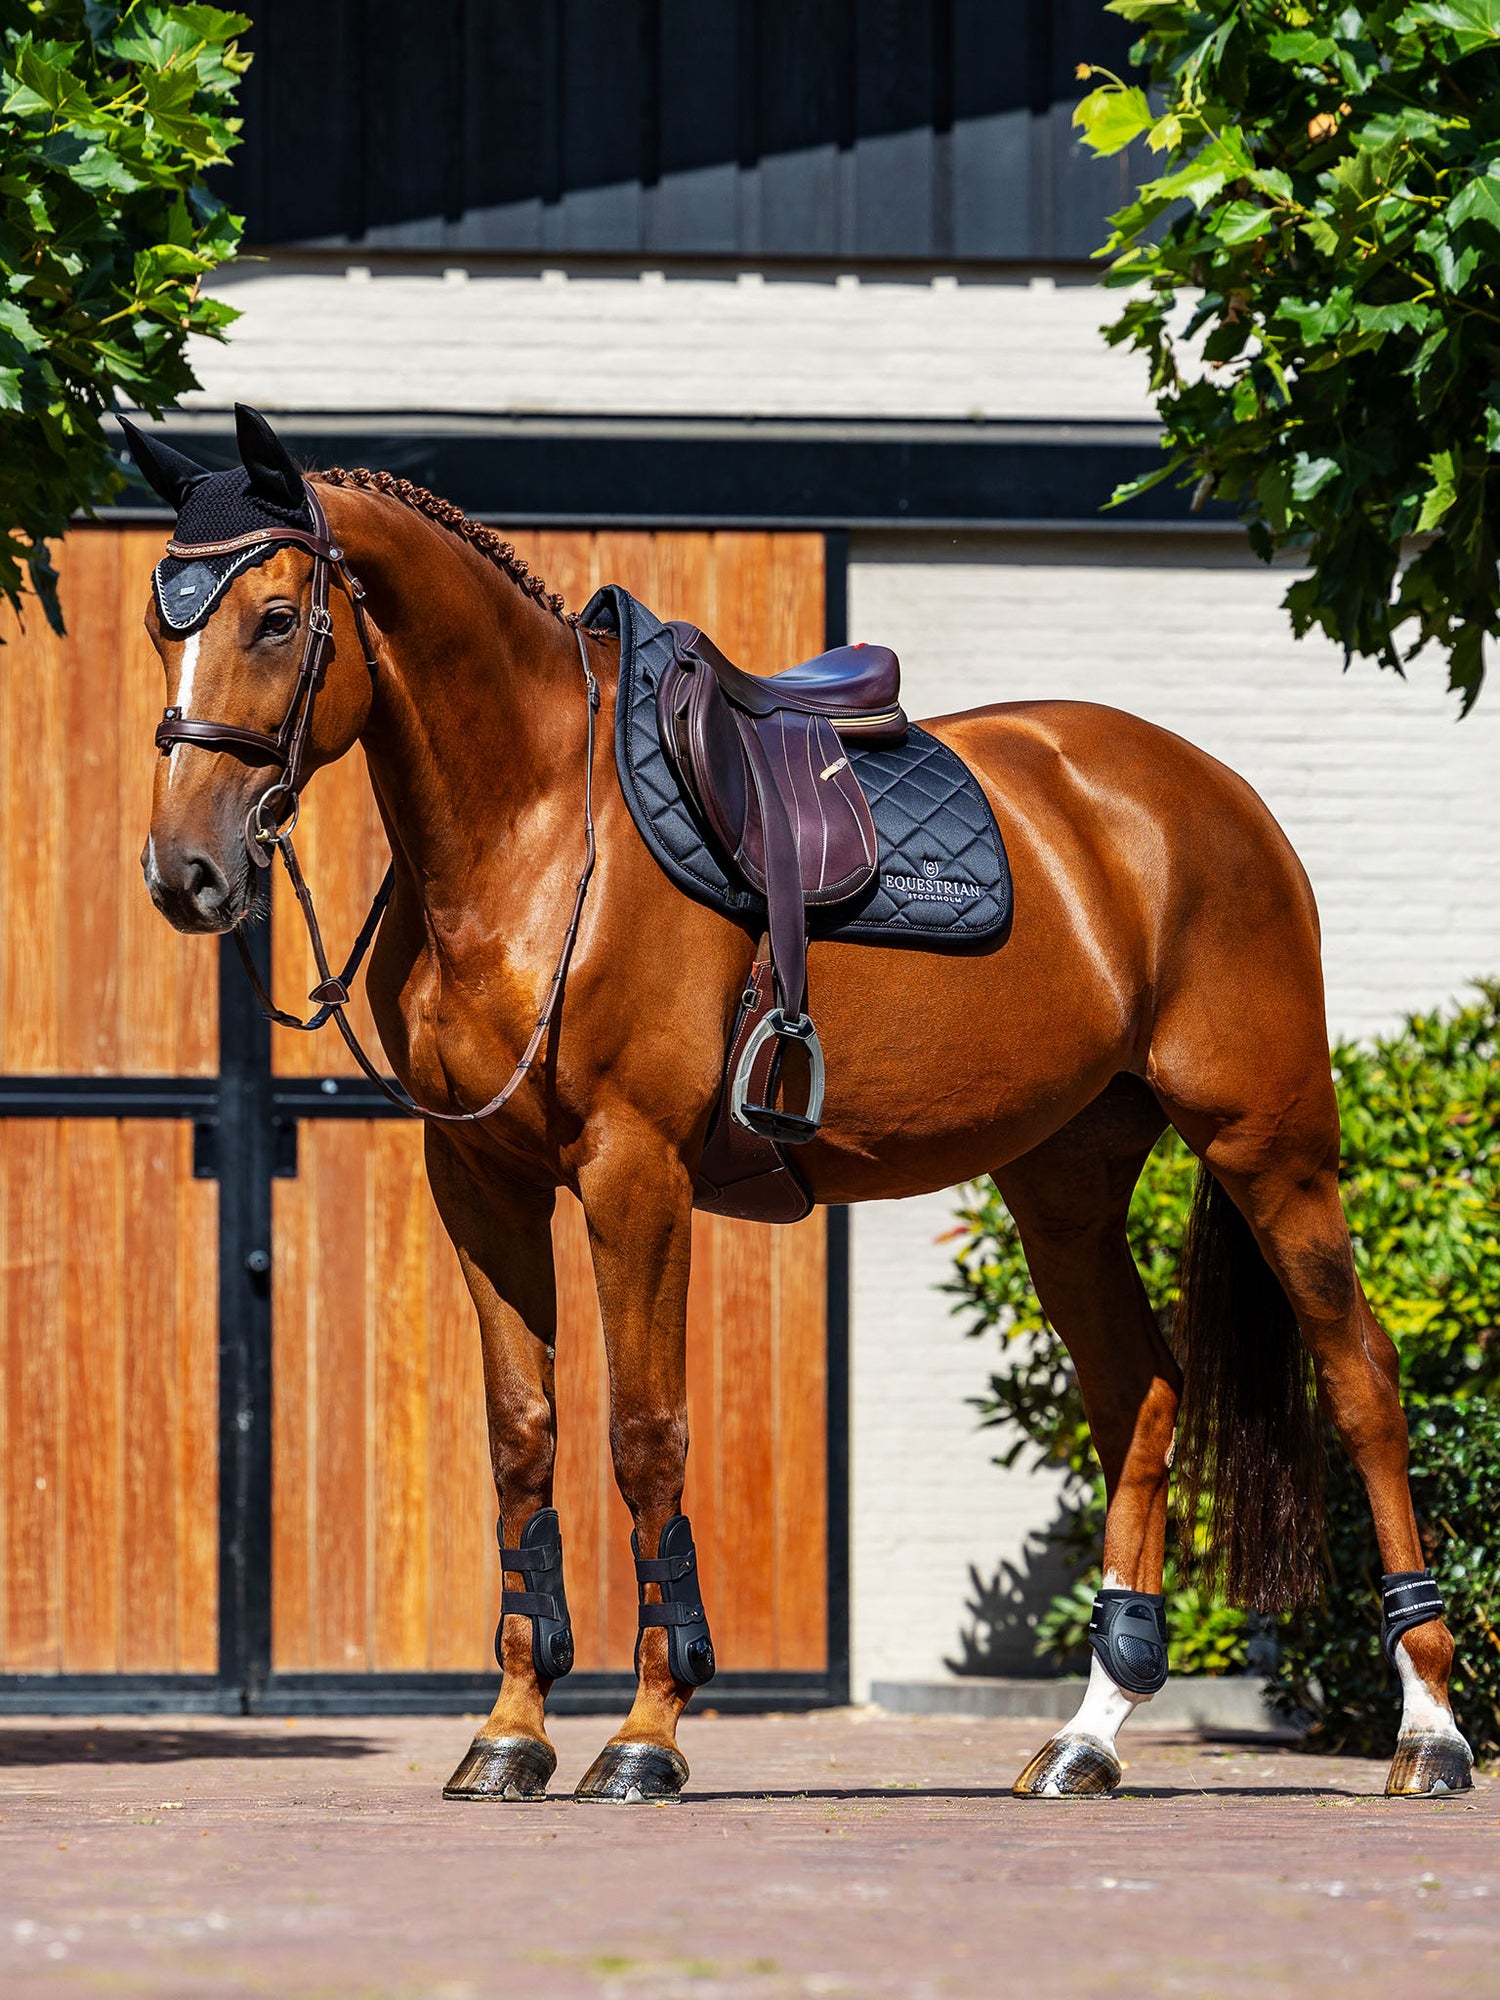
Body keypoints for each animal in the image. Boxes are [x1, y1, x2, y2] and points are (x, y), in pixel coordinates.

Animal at [128, 406, 1471, 1802]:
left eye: (277, 618)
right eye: (162, 625)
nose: (187, 871)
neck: (538, 831)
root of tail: (1215, 797)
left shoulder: (635, 1172)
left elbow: (645, 1432)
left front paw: (647, 1731)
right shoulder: (482, 1180)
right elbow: (520, 1439)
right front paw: (509, 1731)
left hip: (1273, 1147)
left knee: (1364, 1381)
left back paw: (1428, 1729)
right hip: (1066, 1185)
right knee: (1139, 1395)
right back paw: (1088, 1737)